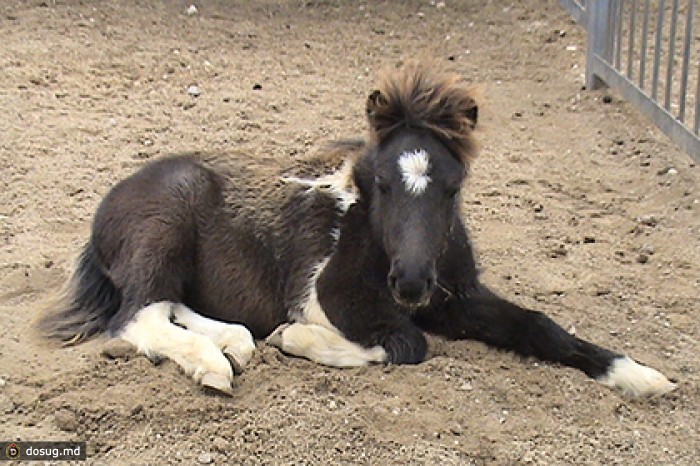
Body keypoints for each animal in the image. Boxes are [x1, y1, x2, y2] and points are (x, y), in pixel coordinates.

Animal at [37, 62, 672, 396]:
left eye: (453, 187)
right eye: (383, 184)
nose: (410, 283)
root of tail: (106, 210)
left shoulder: (458, 299)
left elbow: (539, 326)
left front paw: (639, 374)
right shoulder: (330, 294)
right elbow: (407, 343)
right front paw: (296, 338)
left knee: (169, 305)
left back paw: (232, 341)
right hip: (164, 229)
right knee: (135, 315)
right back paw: (213, 364)